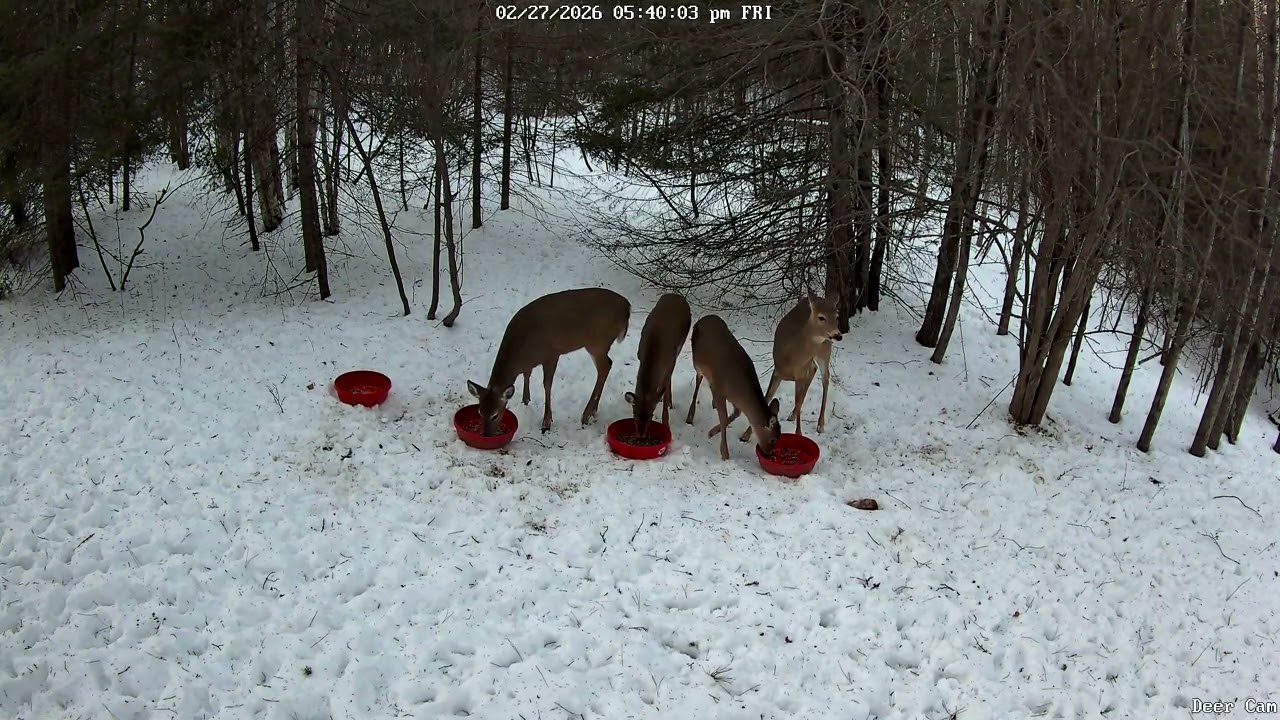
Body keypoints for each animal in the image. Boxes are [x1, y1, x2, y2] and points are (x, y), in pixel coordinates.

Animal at [467, 287, 631, 436]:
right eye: (480, 412)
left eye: (495, 415)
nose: (486, 435)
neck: (521, 347)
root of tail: (627, 307)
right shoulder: (529, 362)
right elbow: (527, 374)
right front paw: (525, 401)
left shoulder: (552, 354)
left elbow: (547, 384)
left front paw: (546, 422)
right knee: (608, 365)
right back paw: (593, 410)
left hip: (598, 343)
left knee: (604, 366)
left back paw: (586, 415)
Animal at [624, 293, 692, 437]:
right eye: (634, 414)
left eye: (651, 416)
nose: (641, 435)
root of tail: (678, 296)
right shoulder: (640, 355)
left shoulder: (670, 362)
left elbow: (665, 389)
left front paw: (666, 423)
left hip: (679, 347)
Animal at [684, 314, 781, 460]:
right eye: (773, 439)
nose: (770, 454)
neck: (739, 390)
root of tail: (705, 317)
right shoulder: (718, 389)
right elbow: (724, 418)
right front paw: (724, 453)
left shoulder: (733, 398)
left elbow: (735, 414)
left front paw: (713, 432)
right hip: (697, 362)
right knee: (698, 379)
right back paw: (690, 416)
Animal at [740, 292, 843, 443]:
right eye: (821, 317)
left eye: (836, 316)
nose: (838, 335)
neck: (791, 356)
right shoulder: (777, 370)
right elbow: (767, 397)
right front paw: (746, 435)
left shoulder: (800, 373)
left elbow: (798, 401)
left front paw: (799, 434)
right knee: (814, 369)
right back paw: (793, 414)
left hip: (824, 351)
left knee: (825, 377)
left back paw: (820, 424)